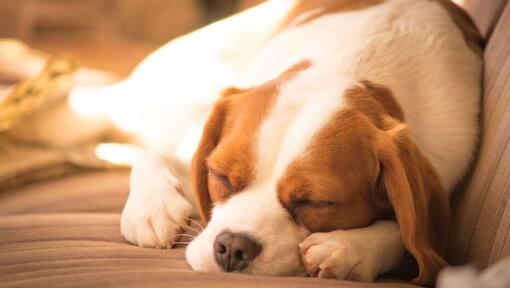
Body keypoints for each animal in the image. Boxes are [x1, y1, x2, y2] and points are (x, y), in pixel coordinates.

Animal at [58, 0, 478, 286]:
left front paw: (350, 249)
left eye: (316, 203)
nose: (232, 247)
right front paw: (152, 207)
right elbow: (155, 156)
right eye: (222, 178)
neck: (355, 66)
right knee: (95, 113)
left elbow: (411, 238)